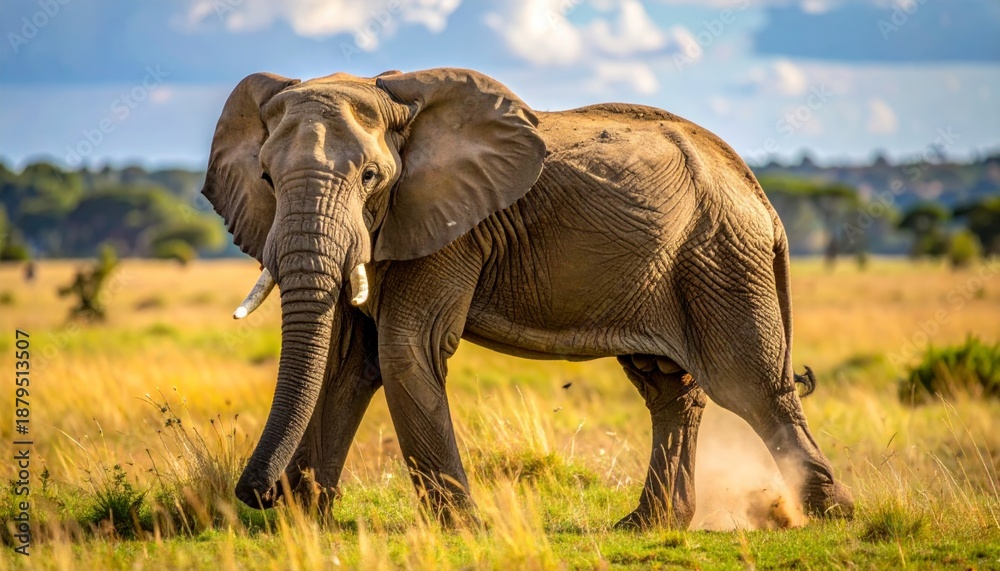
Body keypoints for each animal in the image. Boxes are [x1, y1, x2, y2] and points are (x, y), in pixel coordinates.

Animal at [201, 67, 854, 529]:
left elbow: (405, 348)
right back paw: (646, 526)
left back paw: (829, 515)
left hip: (722, 257)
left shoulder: (453, 229)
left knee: (752, 386)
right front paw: (305, 519)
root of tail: (760, 194)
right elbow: (346, 361)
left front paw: (464, 530)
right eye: (265, 178)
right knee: (670, 389)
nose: (257, 493)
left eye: (369, 178)